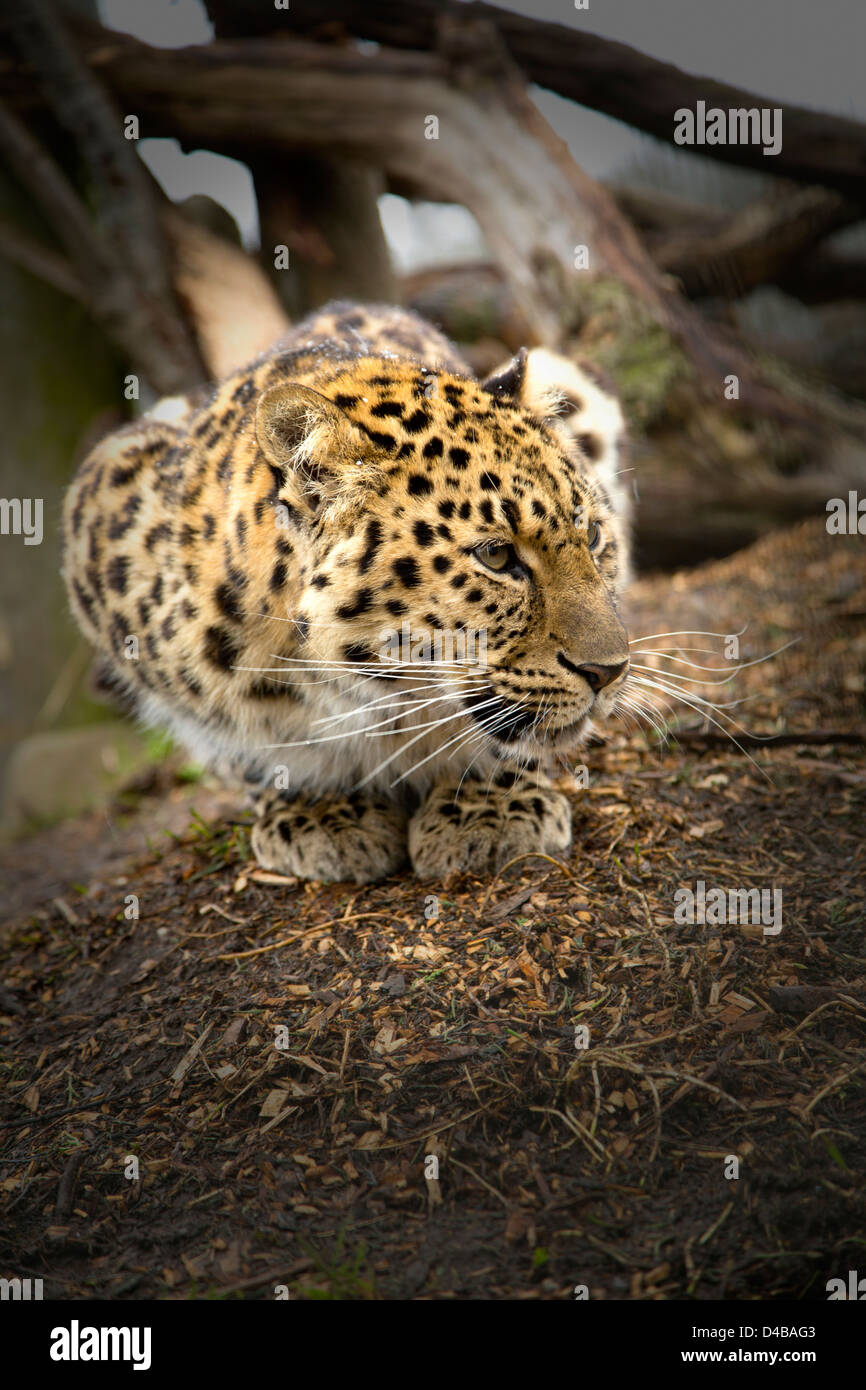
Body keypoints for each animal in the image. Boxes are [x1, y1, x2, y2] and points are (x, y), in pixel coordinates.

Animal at [61, 300, 631, 884]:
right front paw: (318, 804)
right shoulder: (105, 498)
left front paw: (491, 806)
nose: (609, 672)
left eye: (592, 535)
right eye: (495, 556)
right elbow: (246, 747)